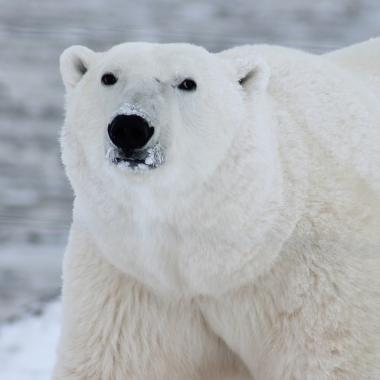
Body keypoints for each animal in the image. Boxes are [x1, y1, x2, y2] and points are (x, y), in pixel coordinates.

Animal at [53, 39, 380, 380]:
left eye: (187, 83)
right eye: (108, 77)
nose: (130, 126)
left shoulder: (318, 280)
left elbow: (329, 359)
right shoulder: (129, 279)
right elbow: (115, 361)